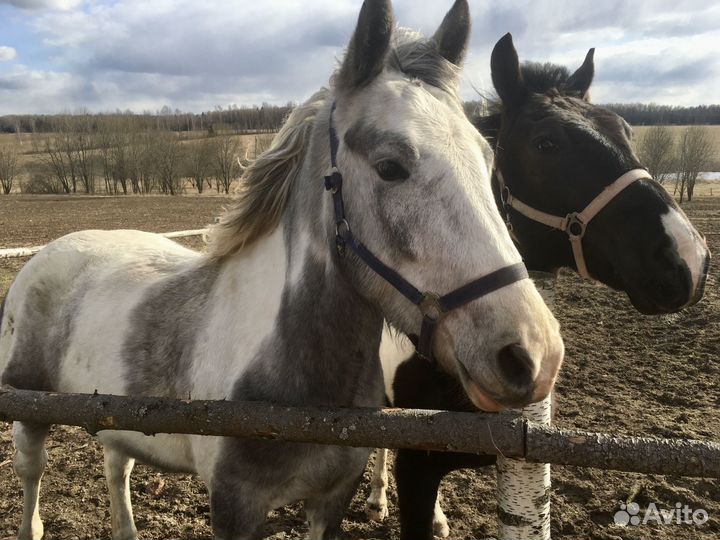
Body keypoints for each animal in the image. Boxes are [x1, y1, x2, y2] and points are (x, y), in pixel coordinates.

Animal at [0, 3, 565, 539]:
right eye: (390, 167)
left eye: (487, 159)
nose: (532, 355)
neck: (299, 399)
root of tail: (48, 254)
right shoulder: (234, 510)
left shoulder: (330, 499)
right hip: (29, 412)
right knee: (32, 474)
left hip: (112, 416)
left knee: (116, 468)